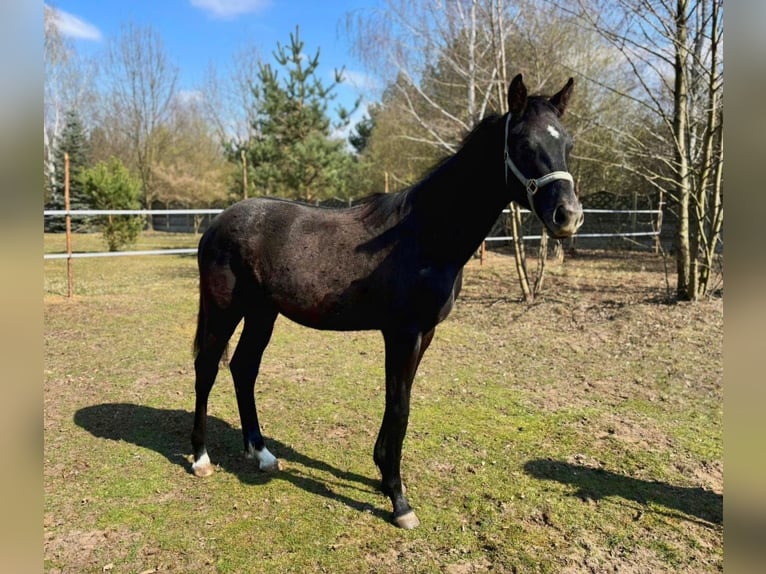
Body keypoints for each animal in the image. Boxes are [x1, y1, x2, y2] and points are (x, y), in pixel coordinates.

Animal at [190, 74, 583, 529]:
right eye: (522, 143)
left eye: (567, 143)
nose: (568, 216)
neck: (425, 233)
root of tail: (217, 223)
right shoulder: (402, 334)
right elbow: (399, 407)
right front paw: (399, 500)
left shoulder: (423, 335)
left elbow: (400, 403)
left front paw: (382, 476)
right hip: (224, 310)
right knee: (207, 369)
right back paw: (200, 458)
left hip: (262, 313)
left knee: (243, 368)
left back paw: (262, 454)